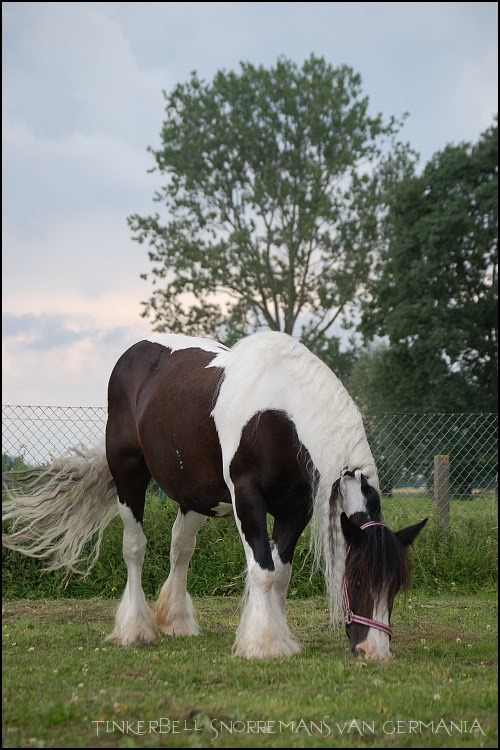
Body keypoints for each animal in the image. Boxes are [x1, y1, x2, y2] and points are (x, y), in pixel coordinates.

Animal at [2, 332, 426, 660]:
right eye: (357, 580)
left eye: (395, 587)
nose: (375, 652)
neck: (281, 413)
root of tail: (134, 353)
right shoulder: (247, 499)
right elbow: (263, 569)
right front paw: (264, 645)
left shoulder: (296, 509)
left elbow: (281, 573)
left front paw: (276, 634)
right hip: (129, 475)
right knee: (134, 548)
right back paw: (136, 629)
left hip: (195, 497)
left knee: (180, 548)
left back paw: (175, 621)